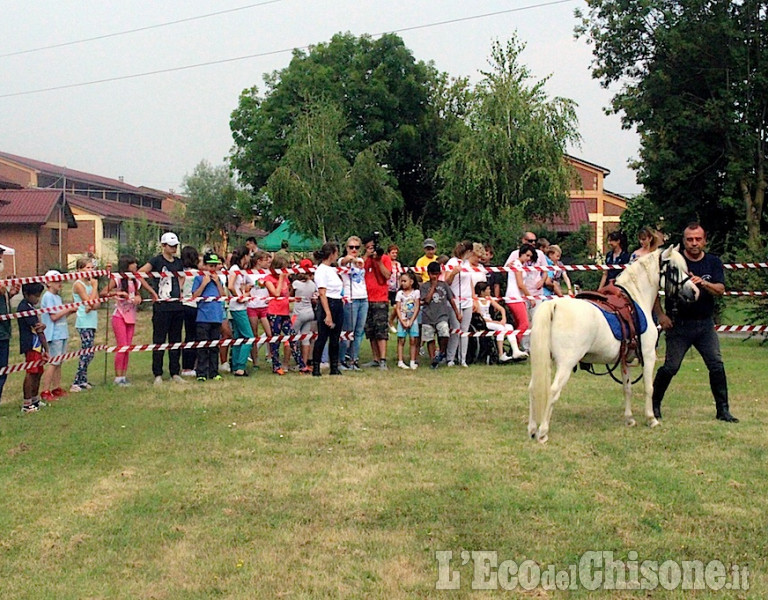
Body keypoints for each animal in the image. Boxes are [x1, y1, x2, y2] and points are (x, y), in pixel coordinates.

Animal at [528, 246, 704, 442]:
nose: (695, 292)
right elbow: (648, 388)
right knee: (552, 391)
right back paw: (542, 432)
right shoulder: (648, 356)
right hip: (565, 364)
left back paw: (532, 429)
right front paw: (651, 419)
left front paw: (629, 419)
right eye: (673, 268)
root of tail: (555, 305)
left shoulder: (625, 360)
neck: (636, 299)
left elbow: (627, 388)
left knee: (533, 388)